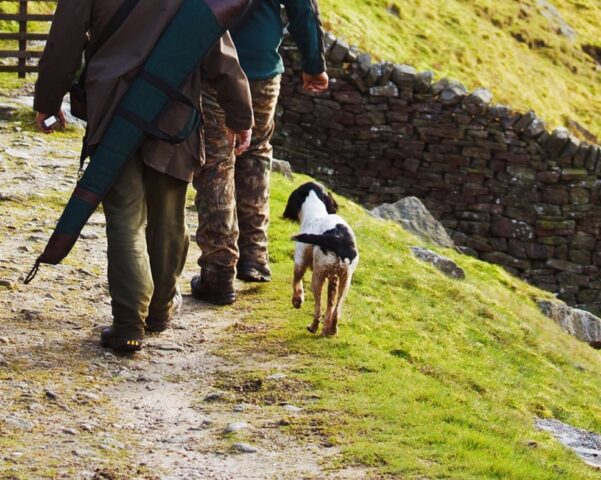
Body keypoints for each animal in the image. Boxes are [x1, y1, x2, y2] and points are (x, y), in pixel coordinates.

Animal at [284, 182, 358, 336]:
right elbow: (331, 303)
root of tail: (338, 237)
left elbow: (297, 282)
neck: (316, 213)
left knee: (318, 307)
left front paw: (297, 301)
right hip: (345, 281)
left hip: (318, 276)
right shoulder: (333, 278)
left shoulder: (299, 261)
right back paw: (331, 329)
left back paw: (313, 327)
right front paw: (326, 327)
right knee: (336, 309)